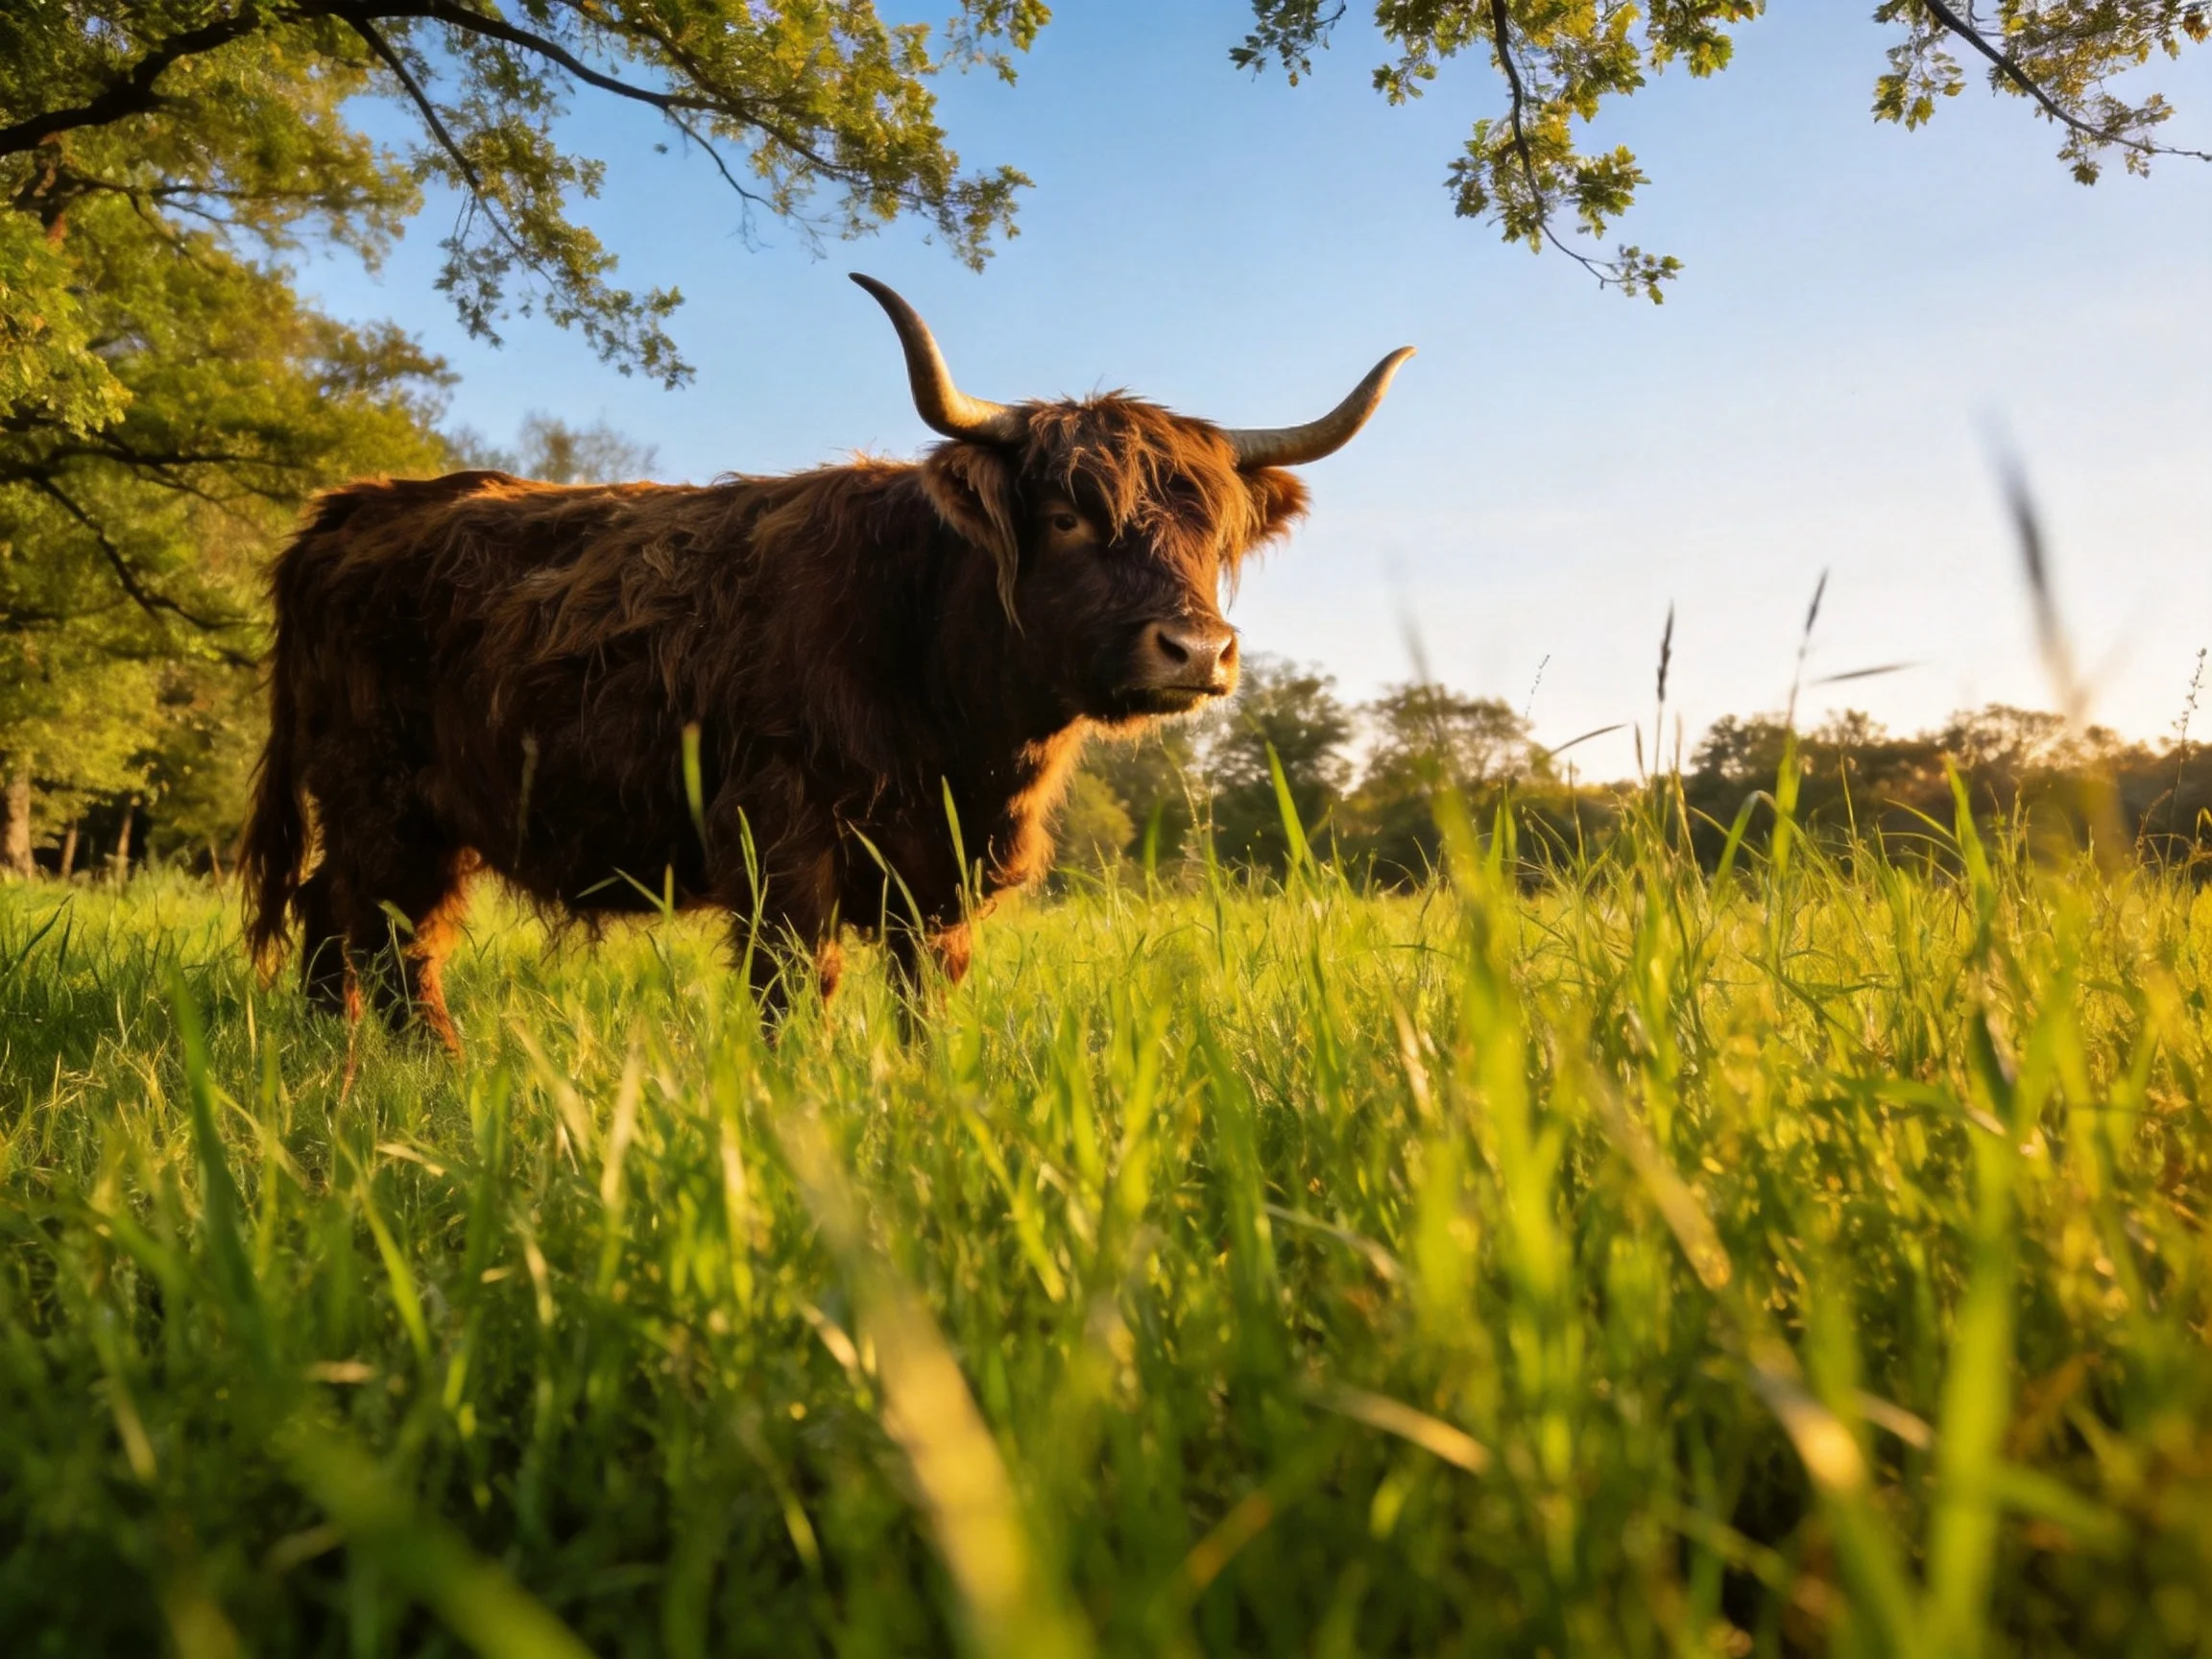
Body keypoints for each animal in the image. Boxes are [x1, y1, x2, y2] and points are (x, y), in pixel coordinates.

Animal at [239, 276, 1412, 1047]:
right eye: (1068, 517)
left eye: (1215, 535)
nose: (1197, 650)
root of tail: (356, 506)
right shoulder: (780, 841)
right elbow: (795, 995)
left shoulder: (942, 877)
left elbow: (924, 1008)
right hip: (385, 800)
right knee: (387, 939)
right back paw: (420, 1070)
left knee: (330, 918)